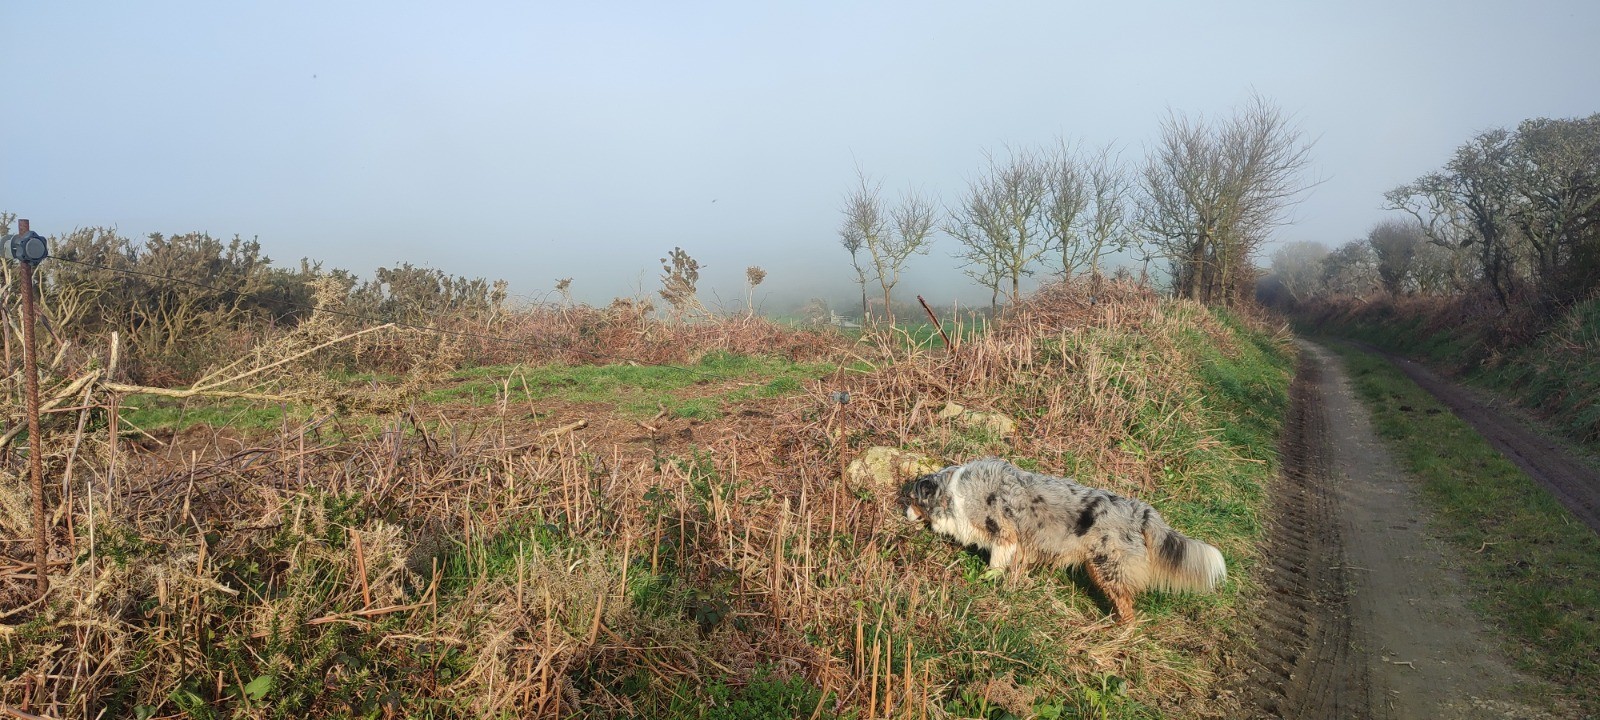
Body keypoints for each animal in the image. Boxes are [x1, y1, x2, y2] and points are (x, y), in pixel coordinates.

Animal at [900, 457, 1226, 624]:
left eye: (912, 499)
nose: (902, 513)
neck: (955, 492)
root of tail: (1139, 510)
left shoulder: (1006, 535)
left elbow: (995, 563)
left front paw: (986, 581)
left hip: (1107, 566)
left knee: (1128, 606)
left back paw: (1118, 631)